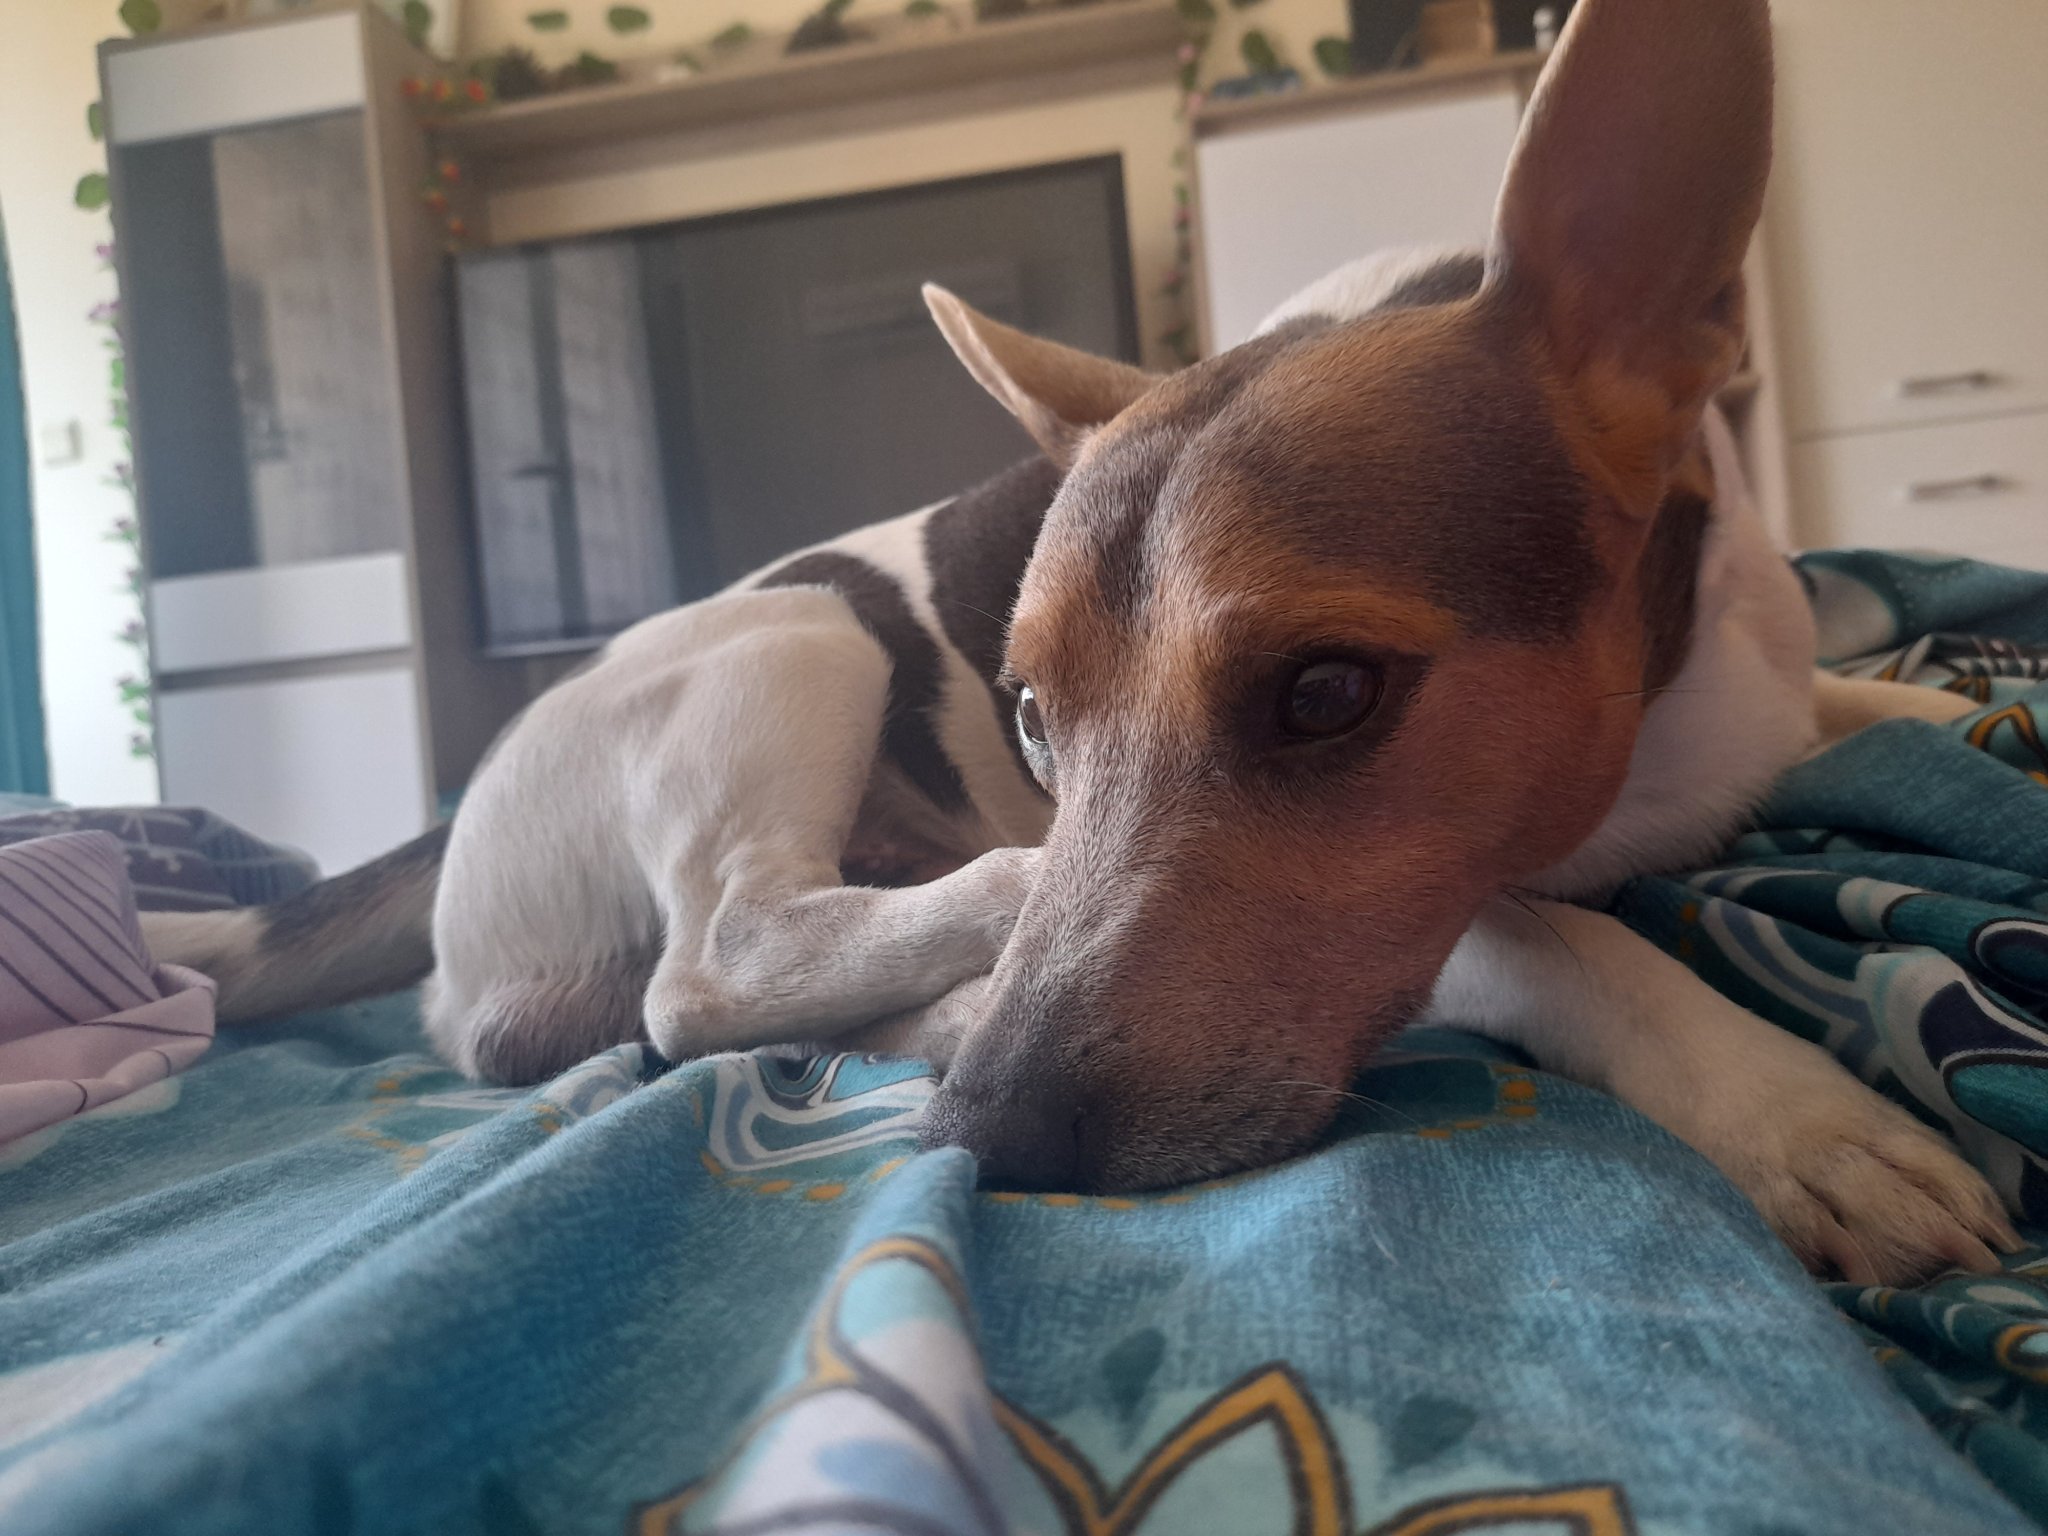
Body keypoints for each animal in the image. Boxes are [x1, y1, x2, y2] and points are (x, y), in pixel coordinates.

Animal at [146, 0, 2017, 1286]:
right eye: (1034, 720)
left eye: (1325, 693)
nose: (989, 1139)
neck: (1655, 722)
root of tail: (452, 838)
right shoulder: (1443, 922)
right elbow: (1561, 939)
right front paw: (1790, 1109)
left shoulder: (1764, 684)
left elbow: (1875, 694)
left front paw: (1957, 709)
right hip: (795, 635)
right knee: (707, 971)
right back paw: (973, 919)